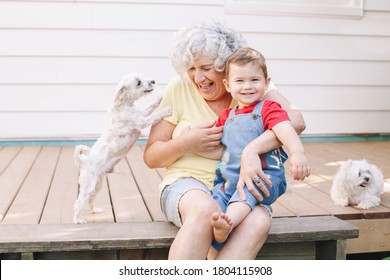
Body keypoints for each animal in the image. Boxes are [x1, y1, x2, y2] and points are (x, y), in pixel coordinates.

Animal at [73, 72, 171, 223]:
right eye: (138, 83)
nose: (153, 81)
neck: (126, 105)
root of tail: (84, 161)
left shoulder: (142, 114)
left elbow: (151, 106)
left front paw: (160, 97)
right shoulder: (142, 121)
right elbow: (155, 115)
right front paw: (166, 110)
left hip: (97, 186)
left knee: (89, 201)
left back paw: (95, 211)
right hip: (88, 187)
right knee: (78, 203)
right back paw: (77, 220)